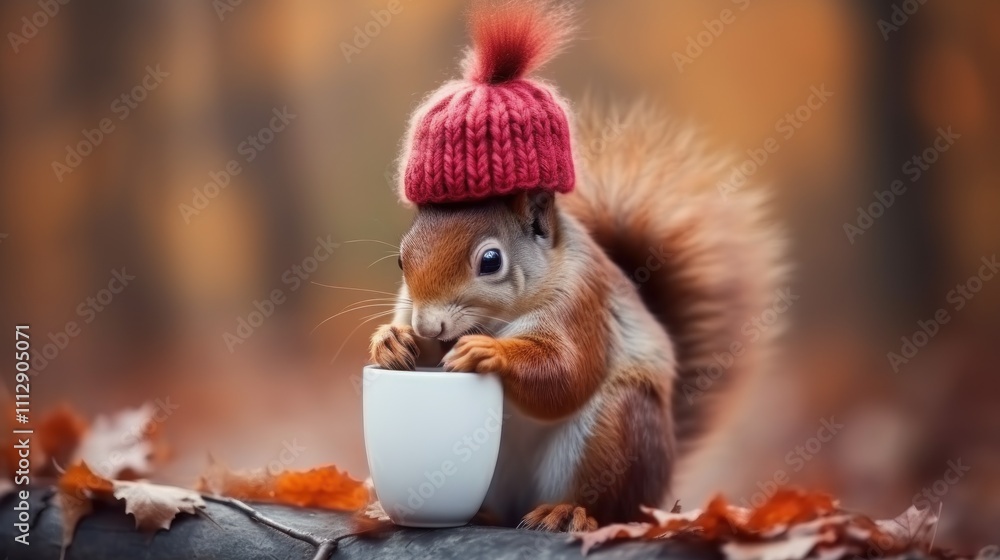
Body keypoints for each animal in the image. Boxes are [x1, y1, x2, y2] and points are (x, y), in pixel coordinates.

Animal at [368, 0, 784, 532]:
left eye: (490, 261)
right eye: (402, 259)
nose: (428, 324)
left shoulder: (582, 304)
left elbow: (566, 373)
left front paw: (489, 353)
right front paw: (391, 340)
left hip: (614, 431)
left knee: (604, 503)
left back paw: (566, 512)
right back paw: (482, 512)